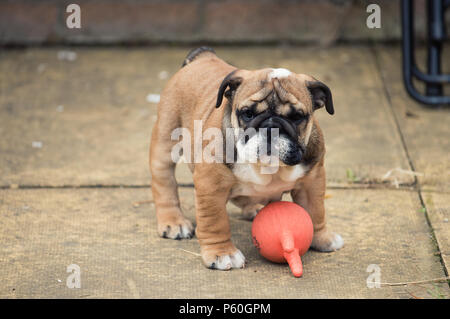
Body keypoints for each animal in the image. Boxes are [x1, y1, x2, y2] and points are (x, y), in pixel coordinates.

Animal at [149, 47, 342, 272]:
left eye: (296, 117)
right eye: (248, 114)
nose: (271, 127)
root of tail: (203, 57)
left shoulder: (312, 180)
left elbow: (316, 211)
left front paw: (322, 238)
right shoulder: (210, 186)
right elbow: (215, 221)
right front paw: (222, 253)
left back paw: (255, 208)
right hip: (165, 142)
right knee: (164, 183)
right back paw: (173, 222)